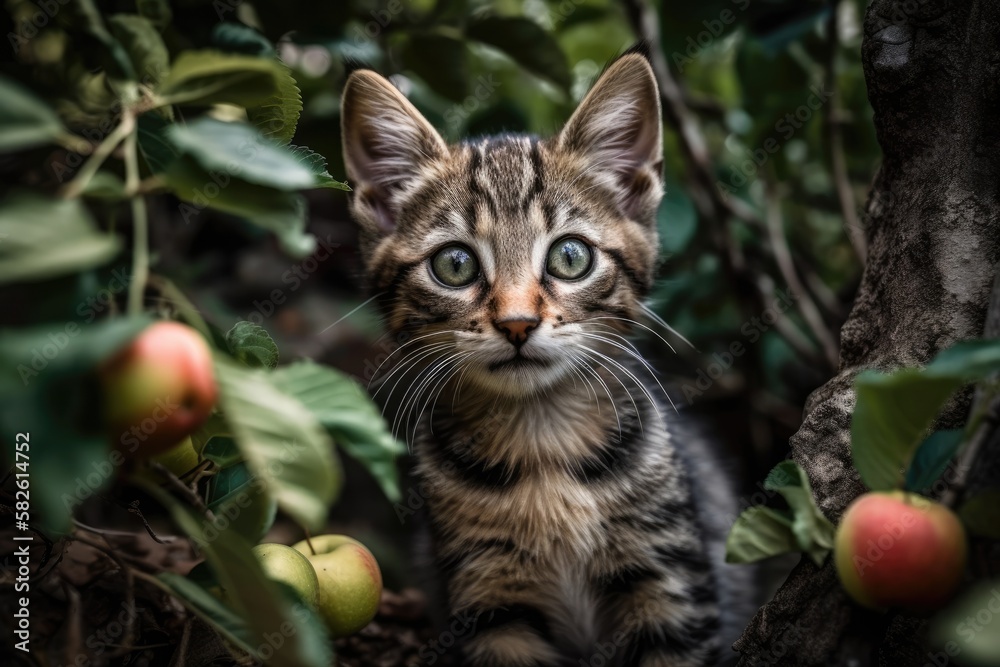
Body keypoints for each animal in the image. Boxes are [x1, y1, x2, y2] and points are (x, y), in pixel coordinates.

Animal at [344, 49, 744, 664]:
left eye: (570, 257)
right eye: (454, 265)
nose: (516, 323)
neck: (540, 441)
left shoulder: (673, 585)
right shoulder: (488, 602)